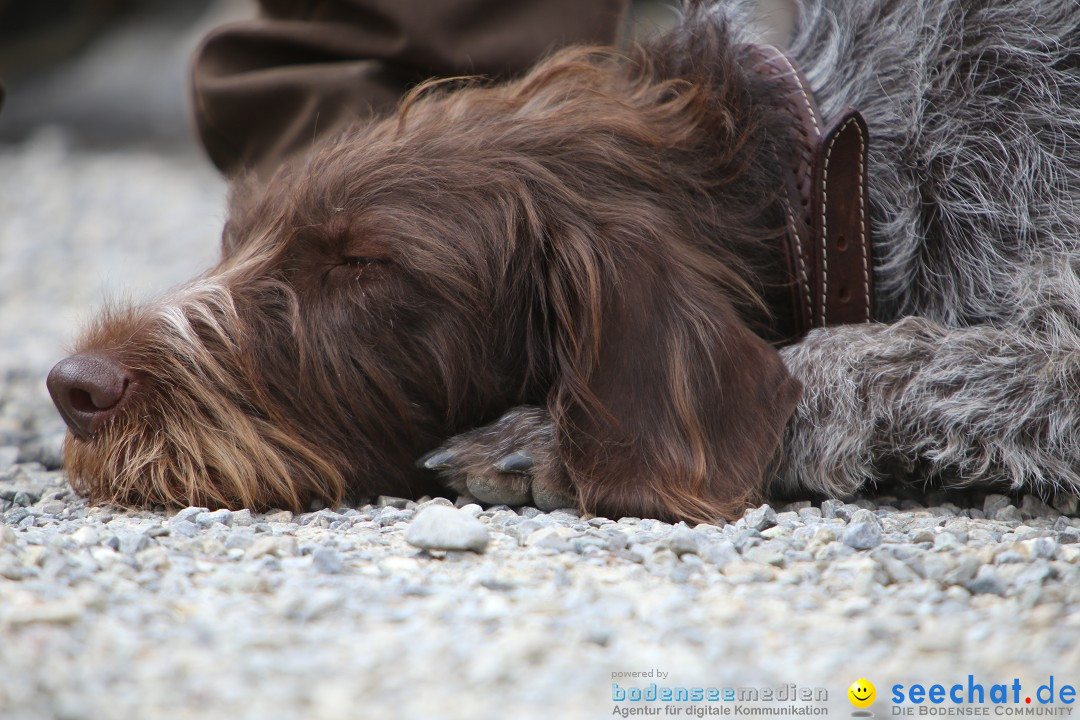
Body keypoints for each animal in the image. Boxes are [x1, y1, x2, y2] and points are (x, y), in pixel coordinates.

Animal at [46, 0, 1080, 520]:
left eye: (363, 265)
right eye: (237, 238)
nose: (73, 386)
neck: (833, 173)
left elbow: (866, 356)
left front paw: (544, 438)